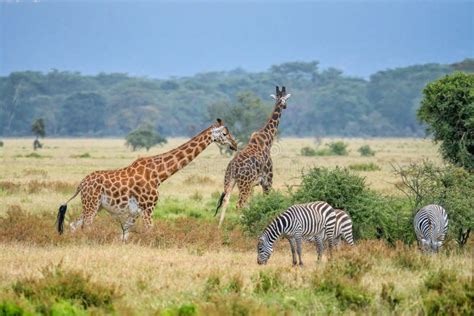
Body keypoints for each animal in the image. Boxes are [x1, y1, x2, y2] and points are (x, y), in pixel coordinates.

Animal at [56, 118, 239, 239]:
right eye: (224, 133)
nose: (235, 145)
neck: (159, 174)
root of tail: (81, 184)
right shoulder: (148, 208)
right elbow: (149, 231)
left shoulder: (135, 212)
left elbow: (124, 235)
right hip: (92, 204)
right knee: (86, 226)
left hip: (95, 206)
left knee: (74, 225)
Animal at [214, 86, 288, 227]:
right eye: (284, 99)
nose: (285, 106)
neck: (267, 140)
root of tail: (233, 167)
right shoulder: (267, 179)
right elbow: (265, 200)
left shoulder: (254, 184)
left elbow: (251, 204)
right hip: (244, 184)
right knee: (239, 204)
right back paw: (239, 227)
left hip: (230, 181)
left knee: (226, 199)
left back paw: (220, 227)